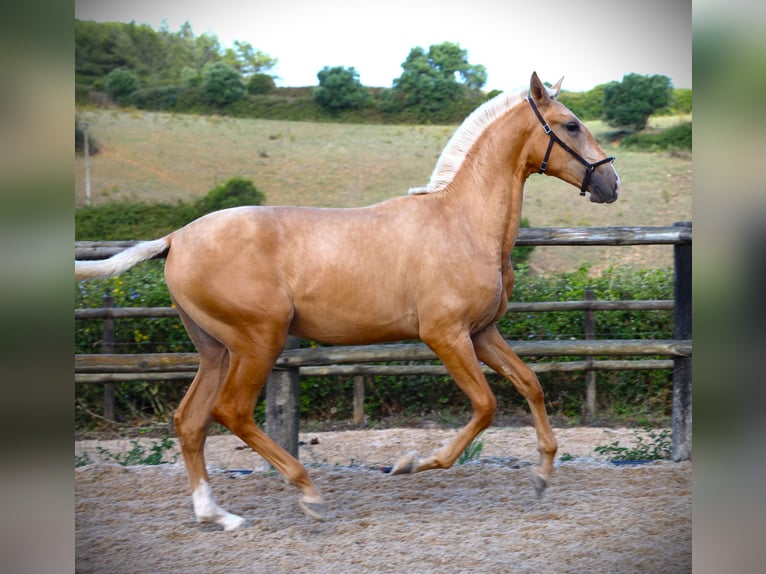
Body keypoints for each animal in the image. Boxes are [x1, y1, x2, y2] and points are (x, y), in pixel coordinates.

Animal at [76, 74, 616, 532]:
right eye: (571, 124)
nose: (611, 185)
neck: (461, 222)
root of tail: (175, 239)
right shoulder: (444, 335)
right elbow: (485, 405)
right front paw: (412, 463)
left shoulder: (482, 333)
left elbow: (530, 385)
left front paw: (542, 477)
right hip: (258, 341)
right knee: (232, 412)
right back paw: (308, 493)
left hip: (216, 349)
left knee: (190, 422)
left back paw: (217, 515)